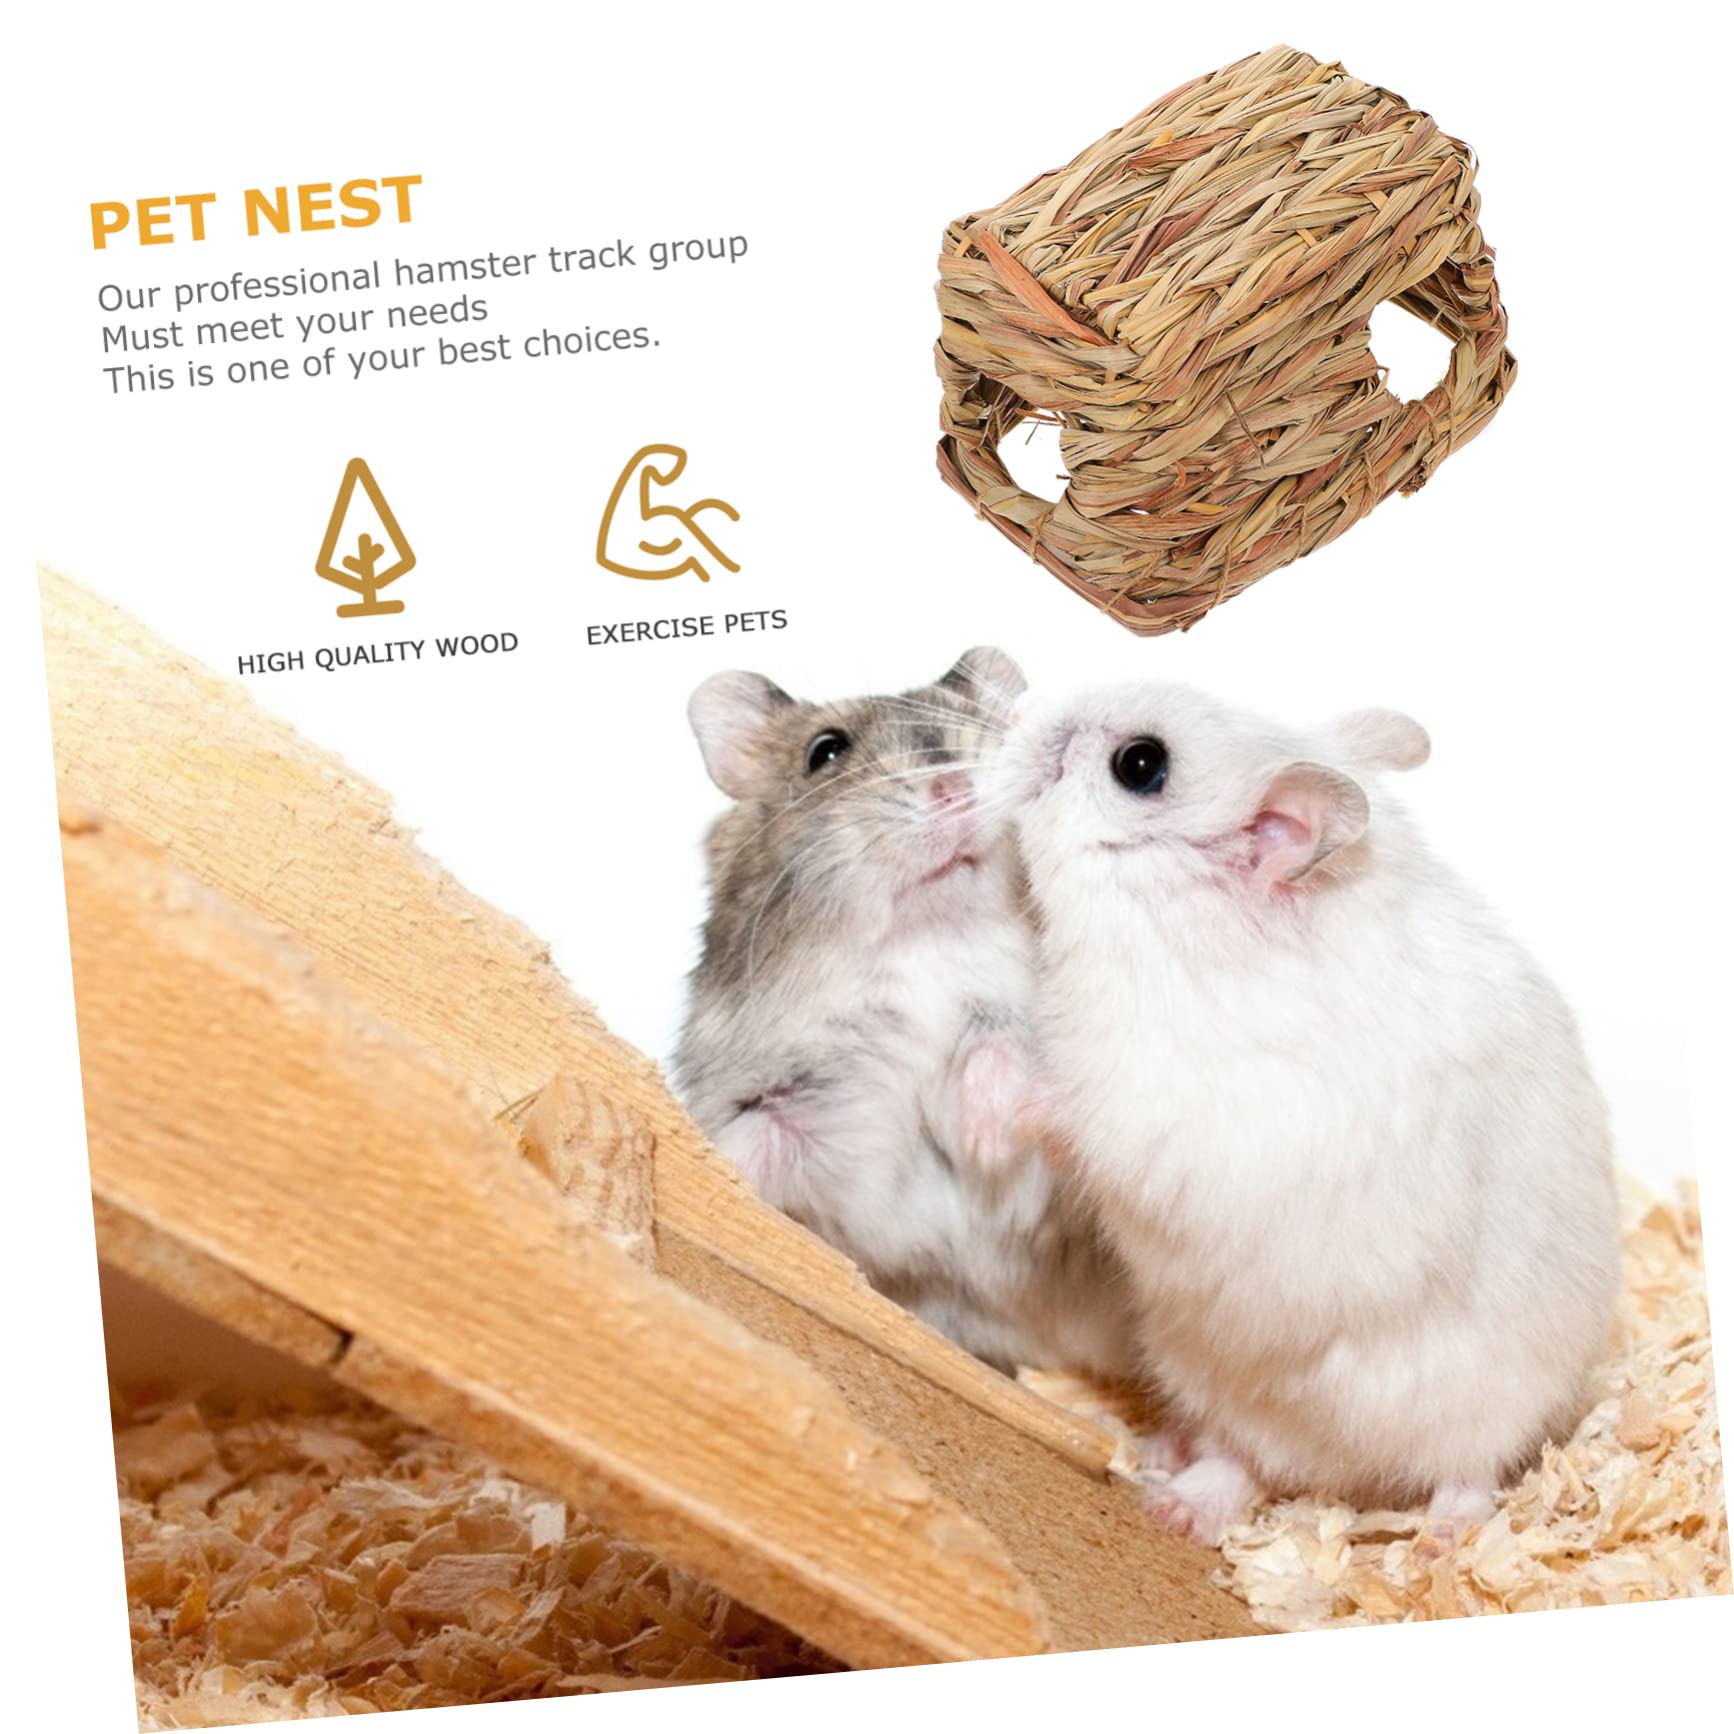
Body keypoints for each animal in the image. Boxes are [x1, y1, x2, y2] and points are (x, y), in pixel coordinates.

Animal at [674, 648, 1137, 1377]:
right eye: (825, 751)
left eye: (991, 733)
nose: (955, 786)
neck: (927, 946)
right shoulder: (786, 1094)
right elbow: (753, 1138)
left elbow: (1006, 1046)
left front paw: (984, 1136)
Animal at [995, 680, 1620, 1543]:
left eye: (1140, 765)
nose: (1017, 712)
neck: (1177, 927)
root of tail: (1341, 1471)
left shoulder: (1159, 1113)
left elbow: (1065, 1109)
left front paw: (982, 1083)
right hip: (1204, 1367)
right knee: (1232, 1459)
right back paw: (1170, 1492)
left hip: (1482, 1401)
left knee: (1467, 1470)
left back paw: (1442, 1542)